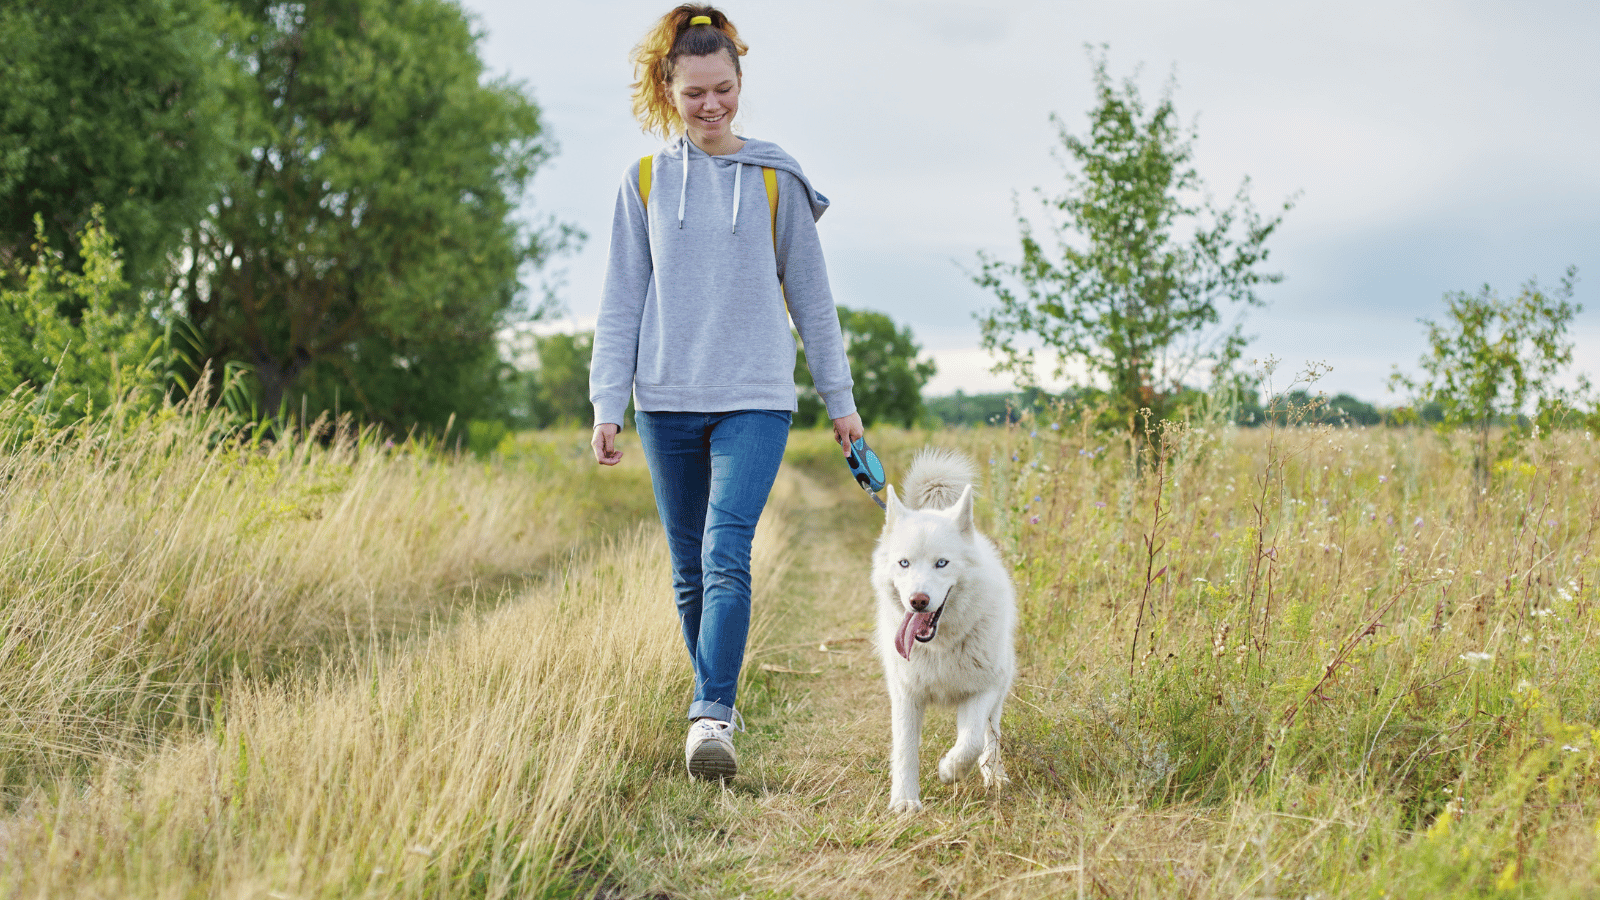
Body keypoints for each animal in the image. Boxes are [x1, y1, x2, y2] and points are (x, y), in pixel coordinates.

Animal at [870, 445, 1017, 810]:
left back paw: (994, 774)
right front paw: (905, 801)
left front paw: (950, 770)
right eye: (904, 563)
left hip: (1000, 686)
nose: (918, 601)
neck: (938, 647)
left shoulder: (981, 690)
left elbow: (971, 741)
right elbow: (905, 750)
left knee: (990, 735)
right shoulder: (906, 695)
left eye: (941, 563)